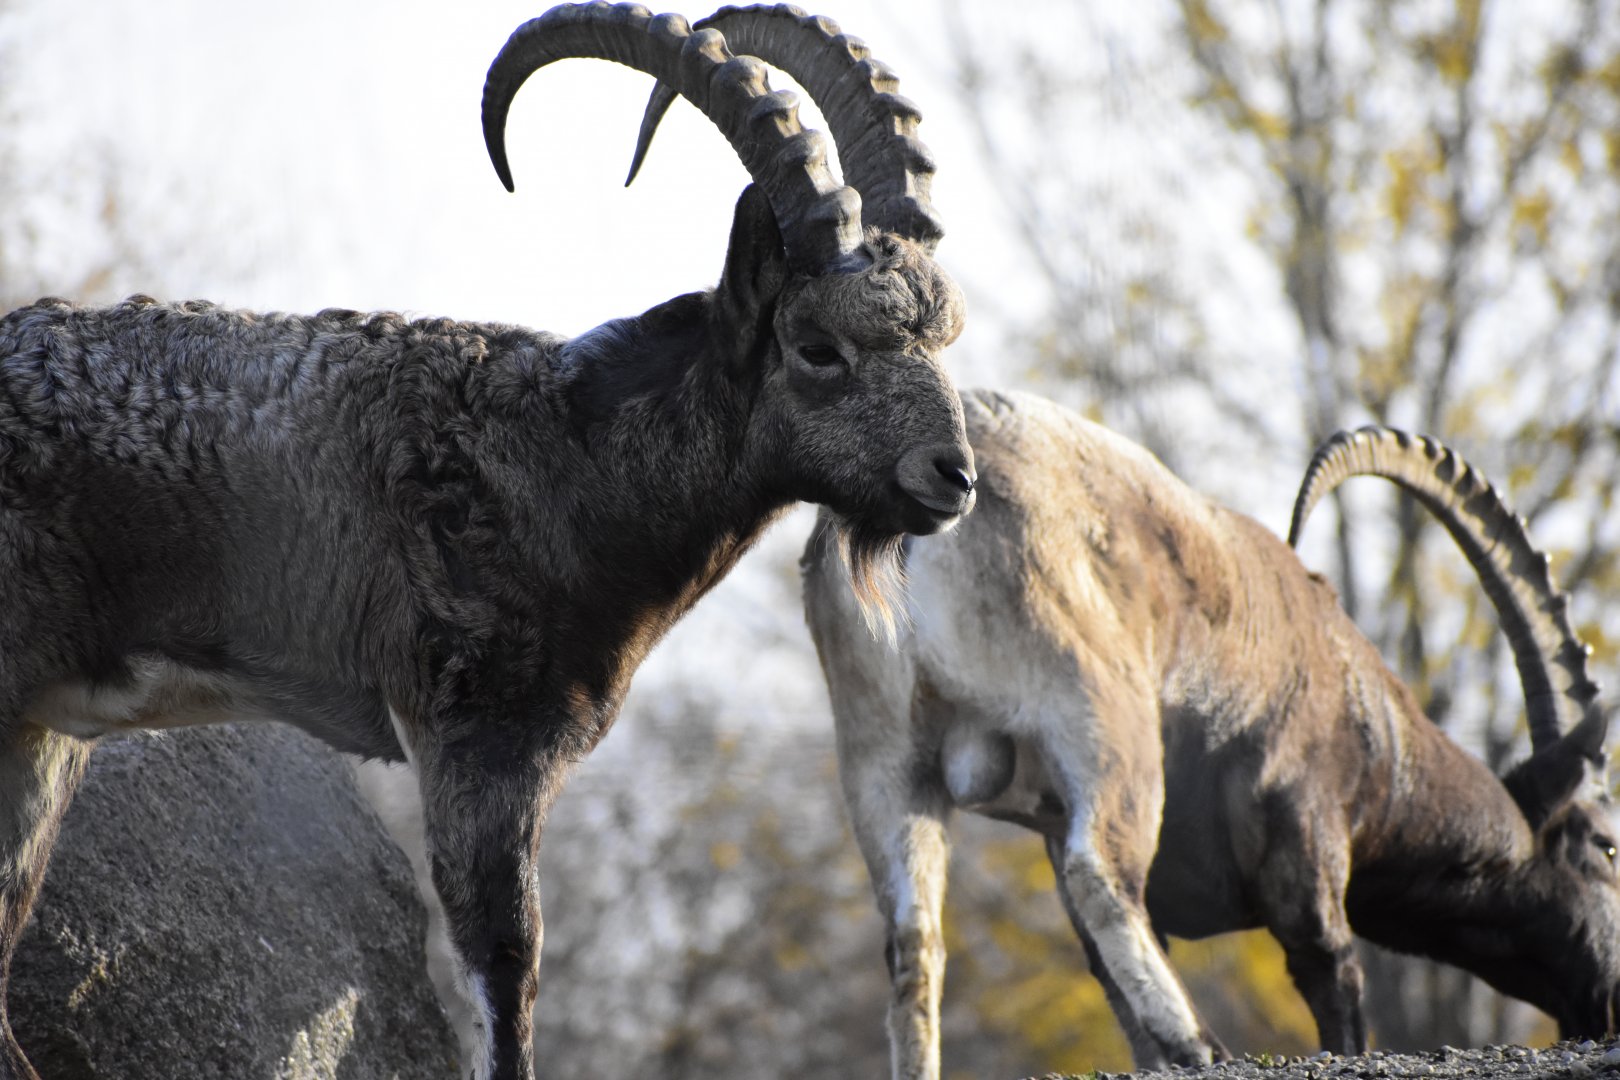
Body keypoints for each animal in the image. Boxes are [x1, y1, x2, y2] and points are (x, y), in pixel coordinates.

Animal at [0, 6, 977, 1080]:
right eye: (818, 348)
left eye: (942, 338)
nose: (953, 476)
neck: (570, 456)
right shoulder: (474, 733)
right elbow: (507, 966)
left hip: (41, 735)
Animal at [803, 388, 1618, 1076]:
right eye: (1607, 845)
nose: (1606, 998)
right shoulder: (1304, 827)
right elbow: (1332, 973)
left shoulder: (1048, 820)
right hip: (1102, 723)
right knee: (1101, 876)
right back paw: (1204, 1048)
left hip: (883, 760)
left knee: (914, 942)